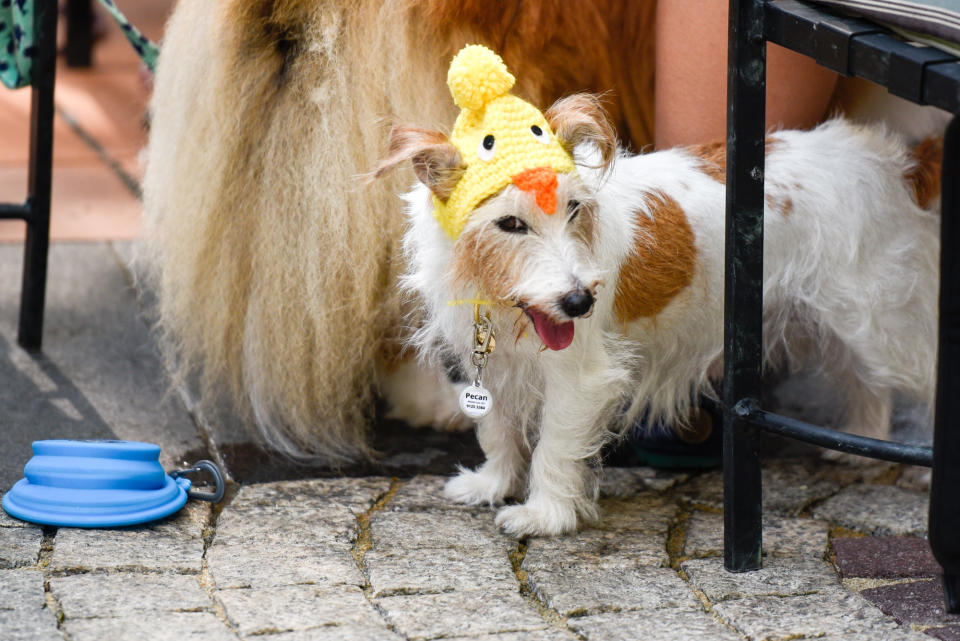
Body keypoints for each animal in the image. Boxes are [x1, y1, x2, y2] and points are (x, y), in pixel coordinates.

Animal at [378, 46, 940, 536]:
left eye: (575, 209)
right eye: (510, 223)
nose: (581, 303)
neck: (497, 296)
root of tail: (892, 161)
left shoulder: (581, 377)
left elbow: (554, 444)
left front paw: (545, 515)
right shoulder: (488, 359)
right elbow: (496, 427)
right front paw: (492, 484)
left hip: (881, 321)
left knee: (923, 377)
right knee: (864, 381)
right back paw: (860, 447)